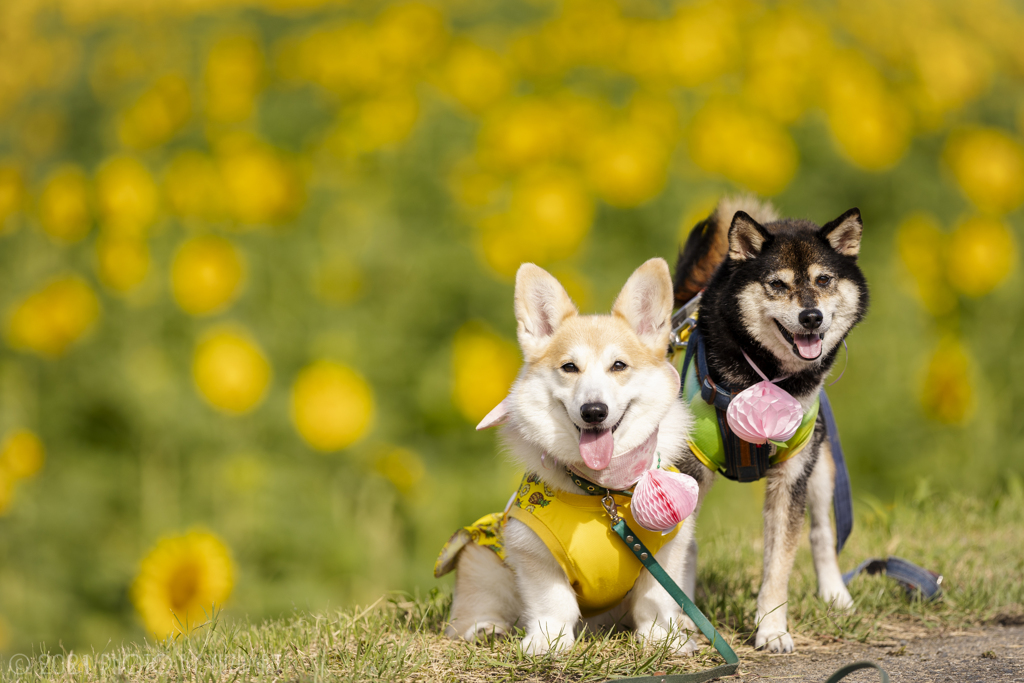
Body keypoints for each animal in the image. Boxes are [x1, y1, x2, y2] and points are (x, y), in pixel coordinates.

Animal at [675, 196, 868, 651]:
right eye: (777, 285)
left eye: (824, 279)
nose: (812, 316)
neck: (761, 376)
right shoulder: (691, 464)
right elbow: (675, 551)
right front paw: (674, 622)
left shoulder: (792, 474)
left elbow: (779, 563)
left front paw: (772, 629)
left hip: (821, 466)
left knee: (822, 534)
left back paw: (836, 595)